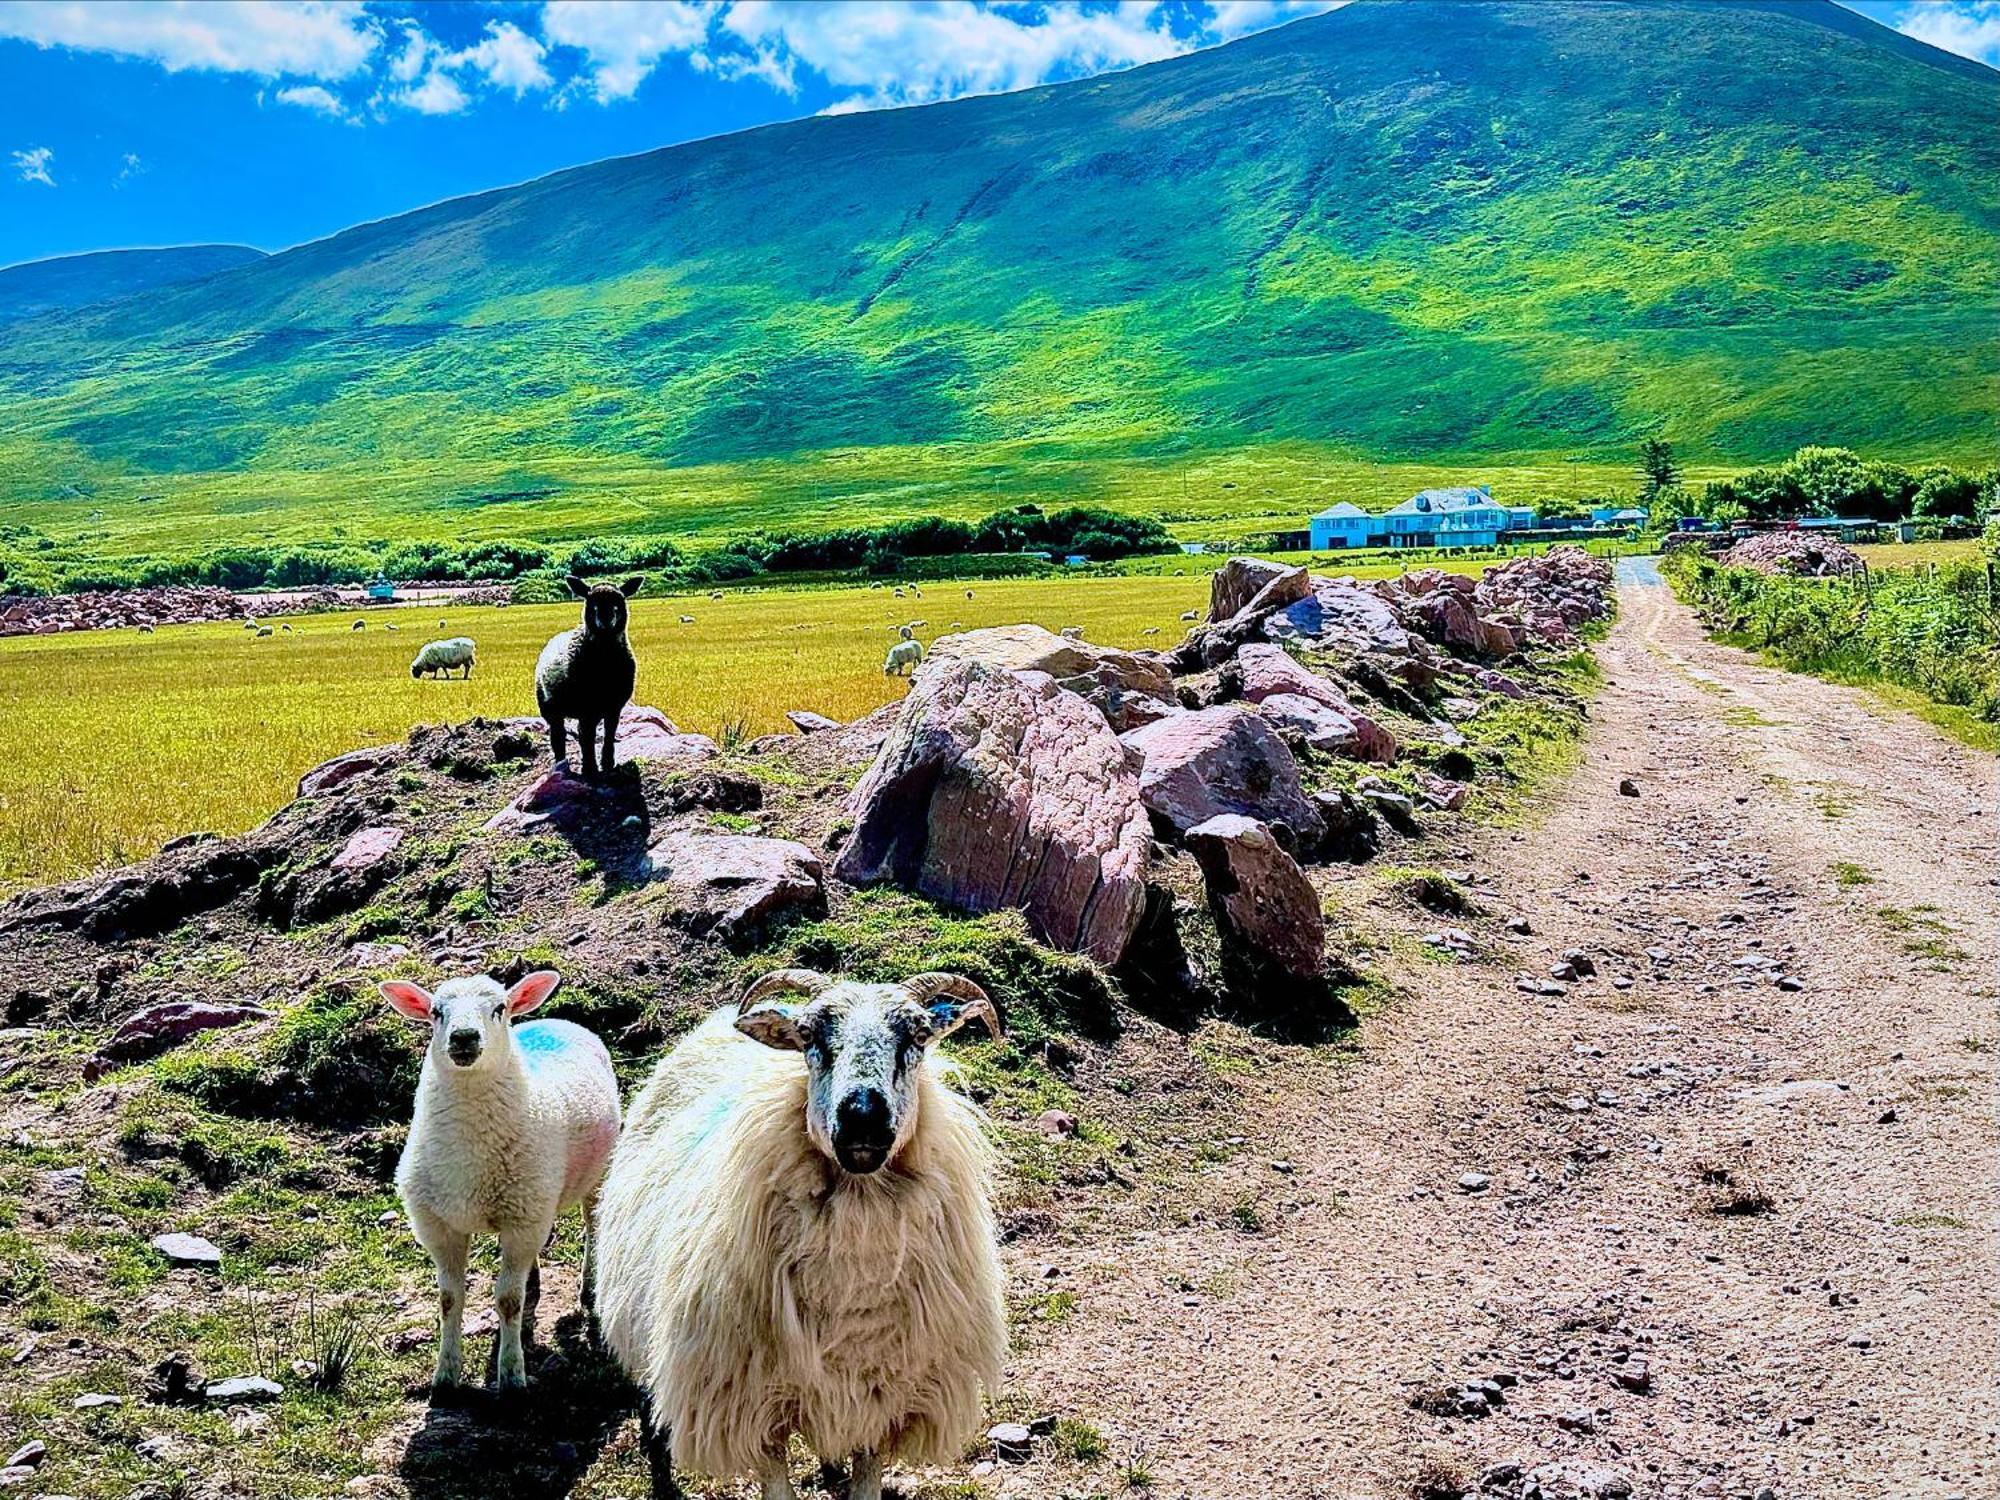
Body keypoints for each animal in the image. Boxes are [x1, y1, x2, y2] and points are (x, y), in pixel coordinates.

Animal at [378, 976, 616, 1400]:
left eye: (499, 1009)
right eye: (435, 1012)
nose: (464, 1037)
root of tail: (556, 1020)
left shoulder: (522, 1222)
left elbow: (508, 1300)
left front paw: (512, 1375)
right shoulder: (439, 1226)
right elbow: (449, 1299)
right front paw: (445, 1376)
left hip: (595, 1174)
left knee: (593, 1225)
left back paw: (588, 1288)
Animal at [536, 580, 644, 788]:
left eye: (619, 601)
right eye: (591, 601)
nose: (606, 619)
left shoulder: (614, 705)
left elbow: (609, 733)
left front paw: (608, 764)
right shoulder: (587, 707)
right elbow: (587, 736)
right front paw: (590, 769)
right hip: (550, 707)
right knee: (559, 736)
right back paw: (562, 765)